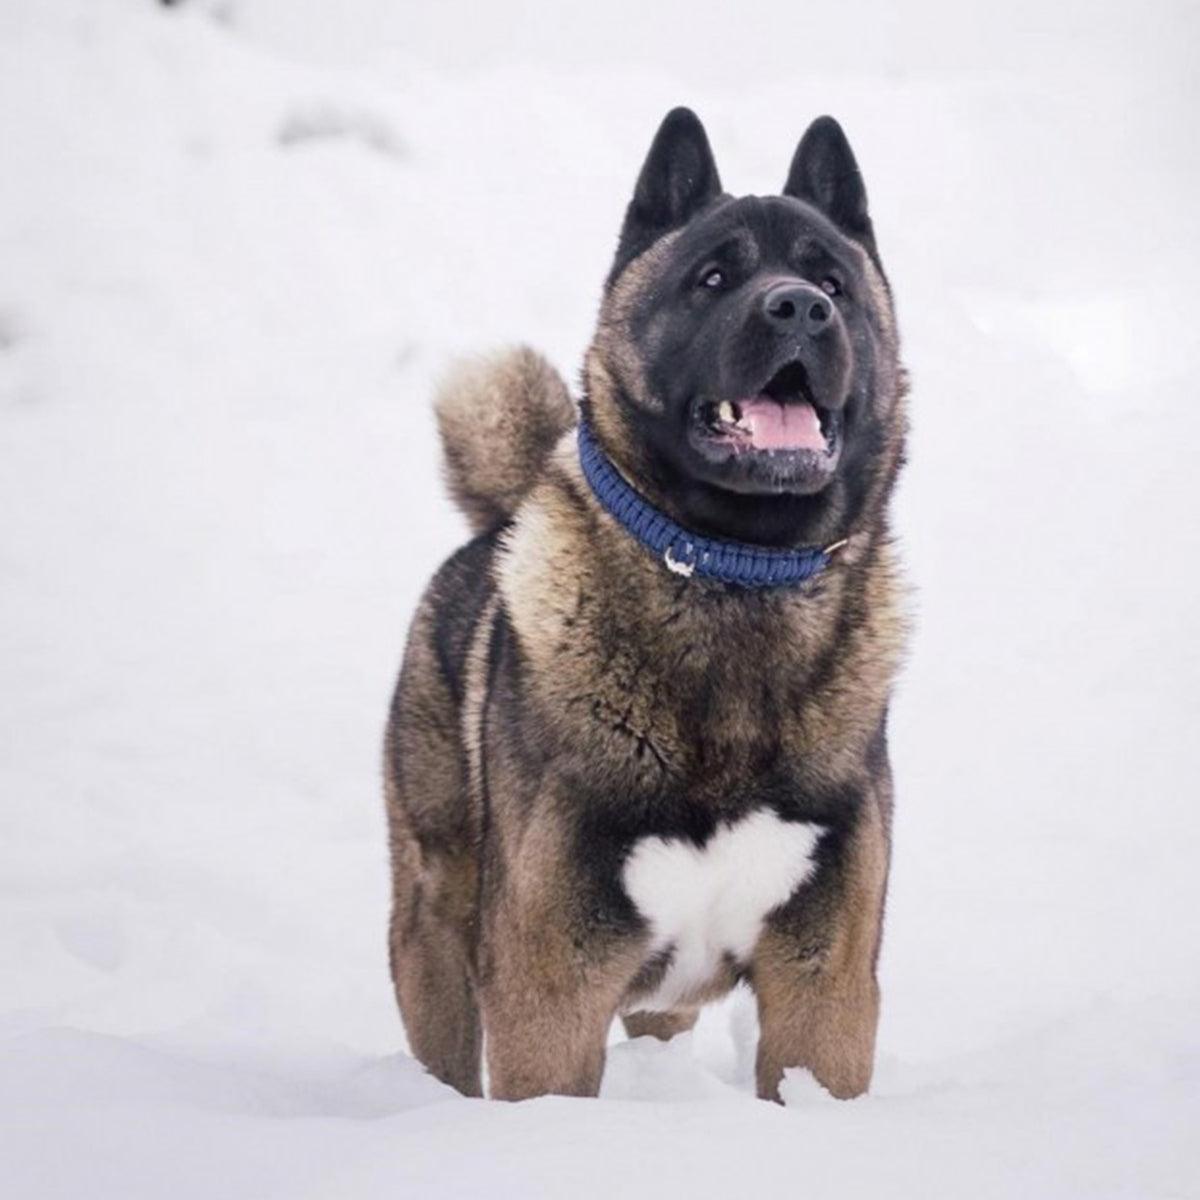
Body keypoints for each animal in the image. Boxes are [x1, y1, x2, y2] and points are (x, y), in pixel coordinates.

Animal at [386, 108, 907, 1099]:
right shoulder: (551, 988)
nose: (801, 308)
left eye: (833, 282)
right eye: (713, 277)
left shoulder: (824, 991)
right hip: (432, 922)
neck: (734, 574)